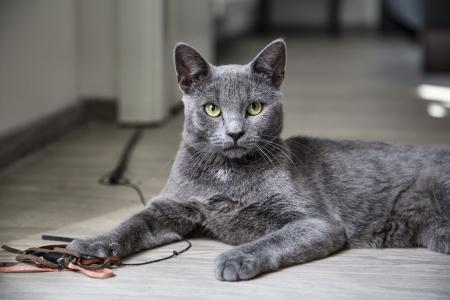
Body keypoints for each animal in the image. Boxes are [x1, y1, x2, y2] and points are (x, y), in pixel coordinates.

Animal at [67, 38, 450, 280]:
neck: (226, 173)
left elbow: (272, 239)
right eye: (212, 109)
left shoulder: (317, 222)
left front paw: (234, 258)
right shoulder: (170, 206)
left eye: (254, 107)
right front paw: (91, 243)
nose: (235, 132)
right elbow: (132, 223)